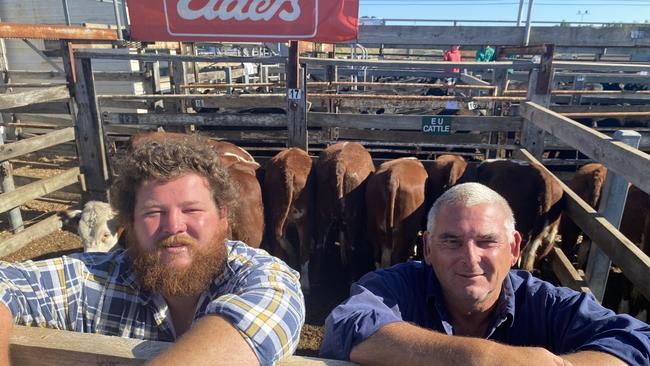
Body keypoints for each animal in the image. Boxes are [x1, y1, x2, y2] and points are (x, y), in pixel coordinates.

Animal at [314, 142, 374, 288]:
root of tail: (340, 164)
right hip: (353, 216)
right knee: (351, 247)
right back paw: (352, 279)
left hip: (322, 212)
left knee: (320, 245)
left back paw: (317, 280)